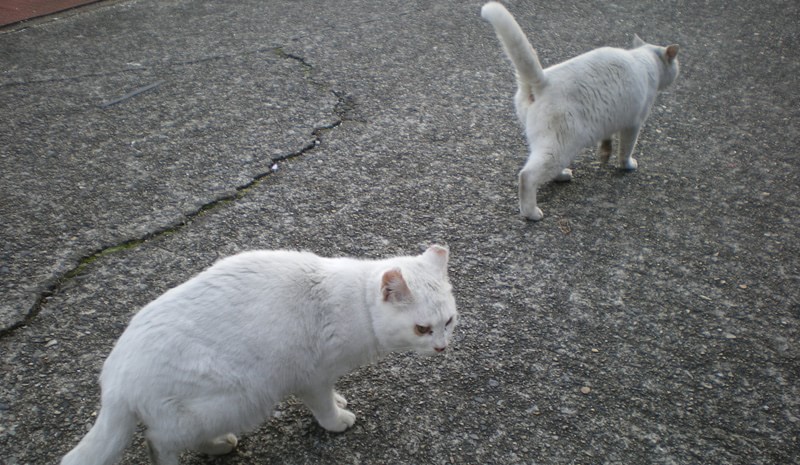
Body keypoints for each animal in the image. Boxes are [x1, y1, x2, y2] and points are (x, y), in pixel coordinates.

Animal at [60, 245, 460, 462]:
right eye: (422, 329)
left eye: (449, 322)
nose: (442, 347)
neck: (357, 304)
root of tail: (114, 383)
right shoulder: (311, 376)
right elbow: (323, 407)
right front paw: (337, 421)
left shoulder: (324, 375)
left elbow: (332, 394)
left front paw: (340, 399)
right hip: (238, 398)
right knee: (158, 442)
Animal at [482, 1, 680, 220]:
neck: (644, 59)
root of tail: (542, 82)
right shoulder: (633, 124)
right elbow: (626, 149)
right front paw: (626, 165)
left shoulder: (610, 117)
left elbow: (607, 141)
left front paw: (604, 154)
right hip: (560, 145)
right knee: (527, 176)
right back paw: (532, 212)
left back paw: (562, 175)